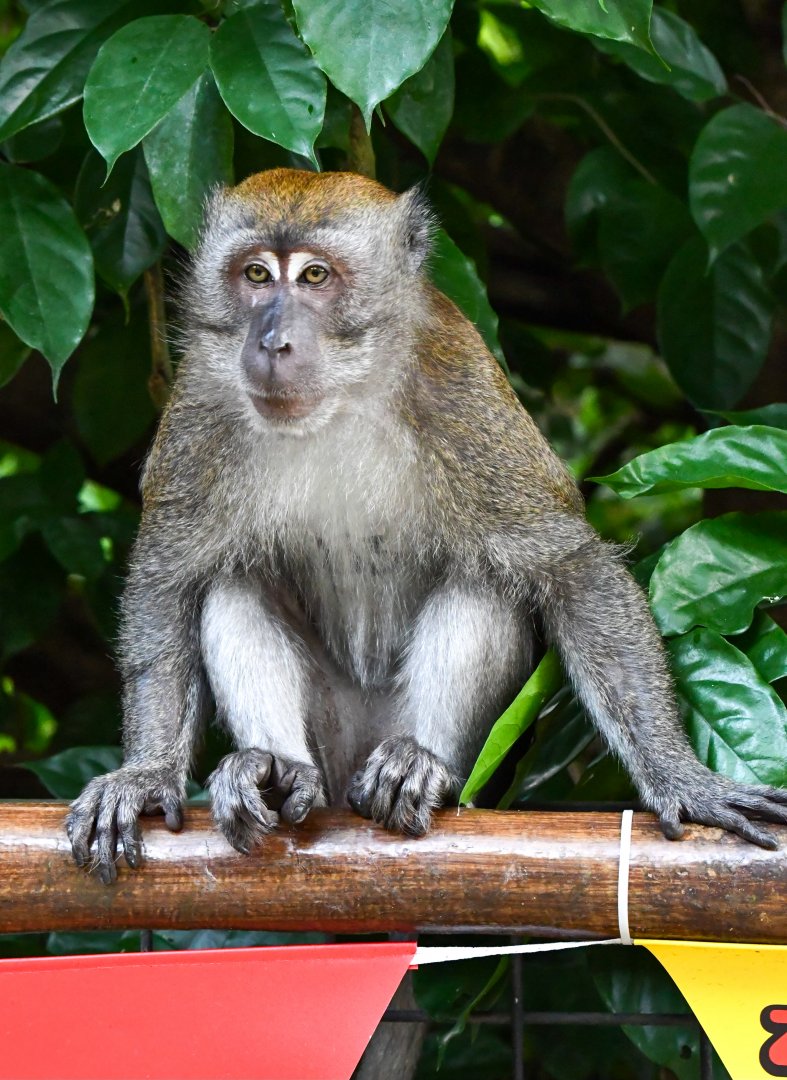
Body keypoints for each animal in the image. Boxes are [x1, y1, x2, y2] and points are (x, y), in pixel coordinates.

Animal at [67, 168, 787, 887]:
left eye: (315, 277)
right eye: (254, 275)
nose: (270, 341)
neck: (341, 398)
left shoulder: (459, 388)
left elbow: (570, 568)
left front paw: (683, 779)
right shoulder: (199, 405)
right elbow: (168, 582)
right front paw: (146, 774)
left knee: (484, 584)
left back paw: (419, 766)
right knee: (233, 586)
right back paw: (274, 772)